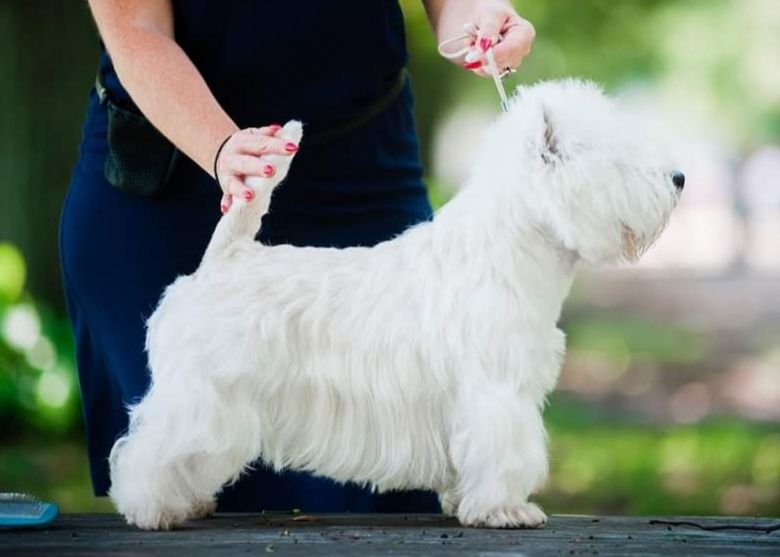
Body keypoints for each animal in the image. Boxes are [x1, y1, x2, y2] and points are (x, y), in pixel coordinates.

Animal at [108, 79, 684, 528]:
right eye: (619, 160)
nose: (680, 177)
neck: (512, 246)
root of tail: (224, 258)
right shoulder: (496, 390)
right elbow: (502, 451)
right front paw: (506, 510)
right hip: (202, 394)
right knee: (149, 448)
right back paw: (150, 509)